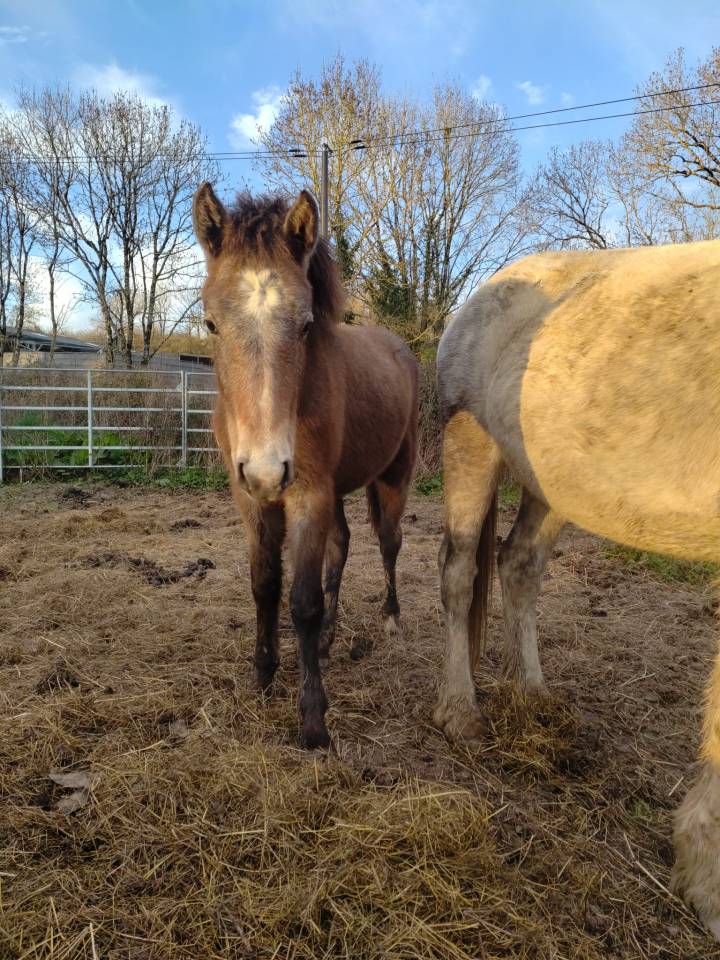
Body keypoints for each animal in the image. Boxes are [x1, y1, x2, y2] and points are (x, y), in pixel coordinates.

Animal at [192, 184, 418, 751]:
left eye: (307, 323)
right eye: (211, 323)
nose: (268, 469)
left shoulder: (307, 495)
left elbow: (303, 601)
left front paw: (314, 720)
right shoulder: (250, 498)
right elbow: (265, 586)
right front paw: (264, 673)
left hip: (394, 475)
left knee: (388, 543)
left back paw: (390, 620)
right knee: (342, 546)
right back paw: (330, 640)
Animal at [434, 239, 720, 937]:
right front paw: (708, 884)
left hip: (550, 481)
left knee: (519, 566)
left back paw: (537, 698)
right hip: (469, 445)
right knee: (459, 572)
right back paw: (460, 713)